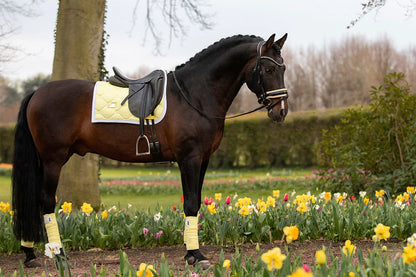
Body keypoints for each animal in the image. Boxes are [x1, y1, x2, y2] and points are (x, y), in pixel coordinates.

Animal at [11, 33, 288, 268]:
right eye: (268, 69)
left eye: (283, 68)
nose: (281, 111)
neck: (194, 95)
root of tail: (37, 93)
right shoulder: (189, 159)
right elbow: (190, 203)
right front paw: (195, 255)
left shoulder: (203, 160)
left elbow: (196, 202)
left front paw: (191, 252)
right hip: (53, 159)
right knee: (46, 201)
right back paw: (58, 254)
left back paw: (30, 252)